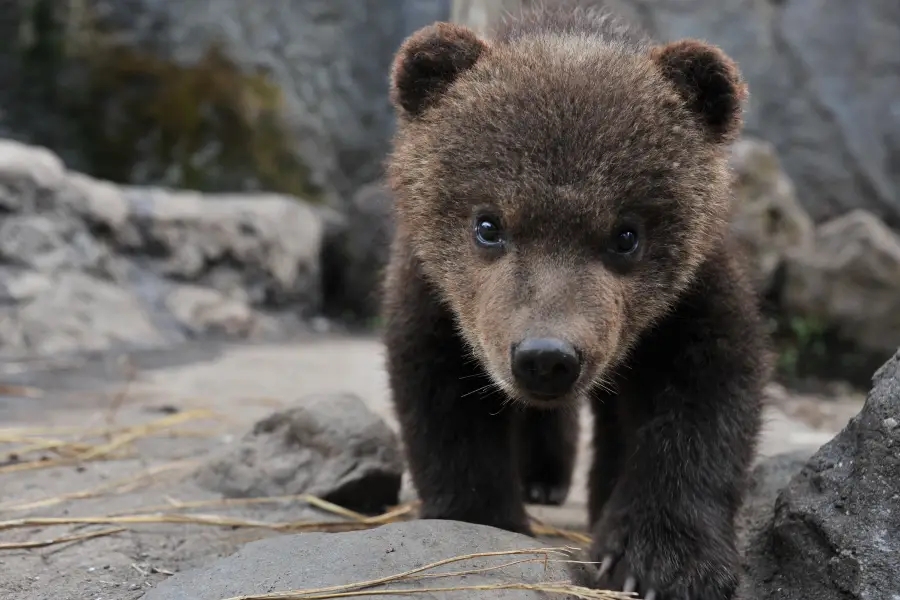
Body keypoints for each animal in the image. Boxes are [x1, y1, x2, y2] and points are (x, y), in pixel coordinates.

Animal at [384, 2, 768, 596]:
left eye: (626, 234)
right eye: (488, 225)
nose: (546, 358)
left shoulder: (688, 295)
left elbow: (707, 393)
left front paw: (660, 559)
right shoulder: (437, 293)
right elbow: (441, 398)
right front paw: (482, 520)